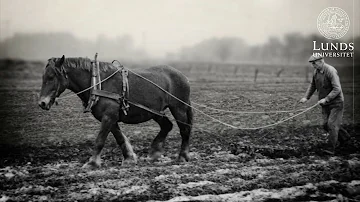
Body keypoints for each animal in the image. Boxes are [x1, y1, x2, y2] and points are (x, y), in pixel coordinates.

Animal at [38, 55, 193, 169]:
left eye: (51, 77)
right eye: (43, 77)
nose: (42, 103)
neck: (97, 83)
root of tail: (183, 76)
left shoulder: (108, 117)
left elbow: (100, 140)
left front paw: (92, 163)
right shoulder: (110, 118)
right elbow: (119, 138)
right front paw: (129, 158)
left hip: (178, 108)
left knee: (184, 130)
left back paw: (182, 157)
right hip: (155, 111)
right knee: (167, 126)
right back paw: (155, 152)